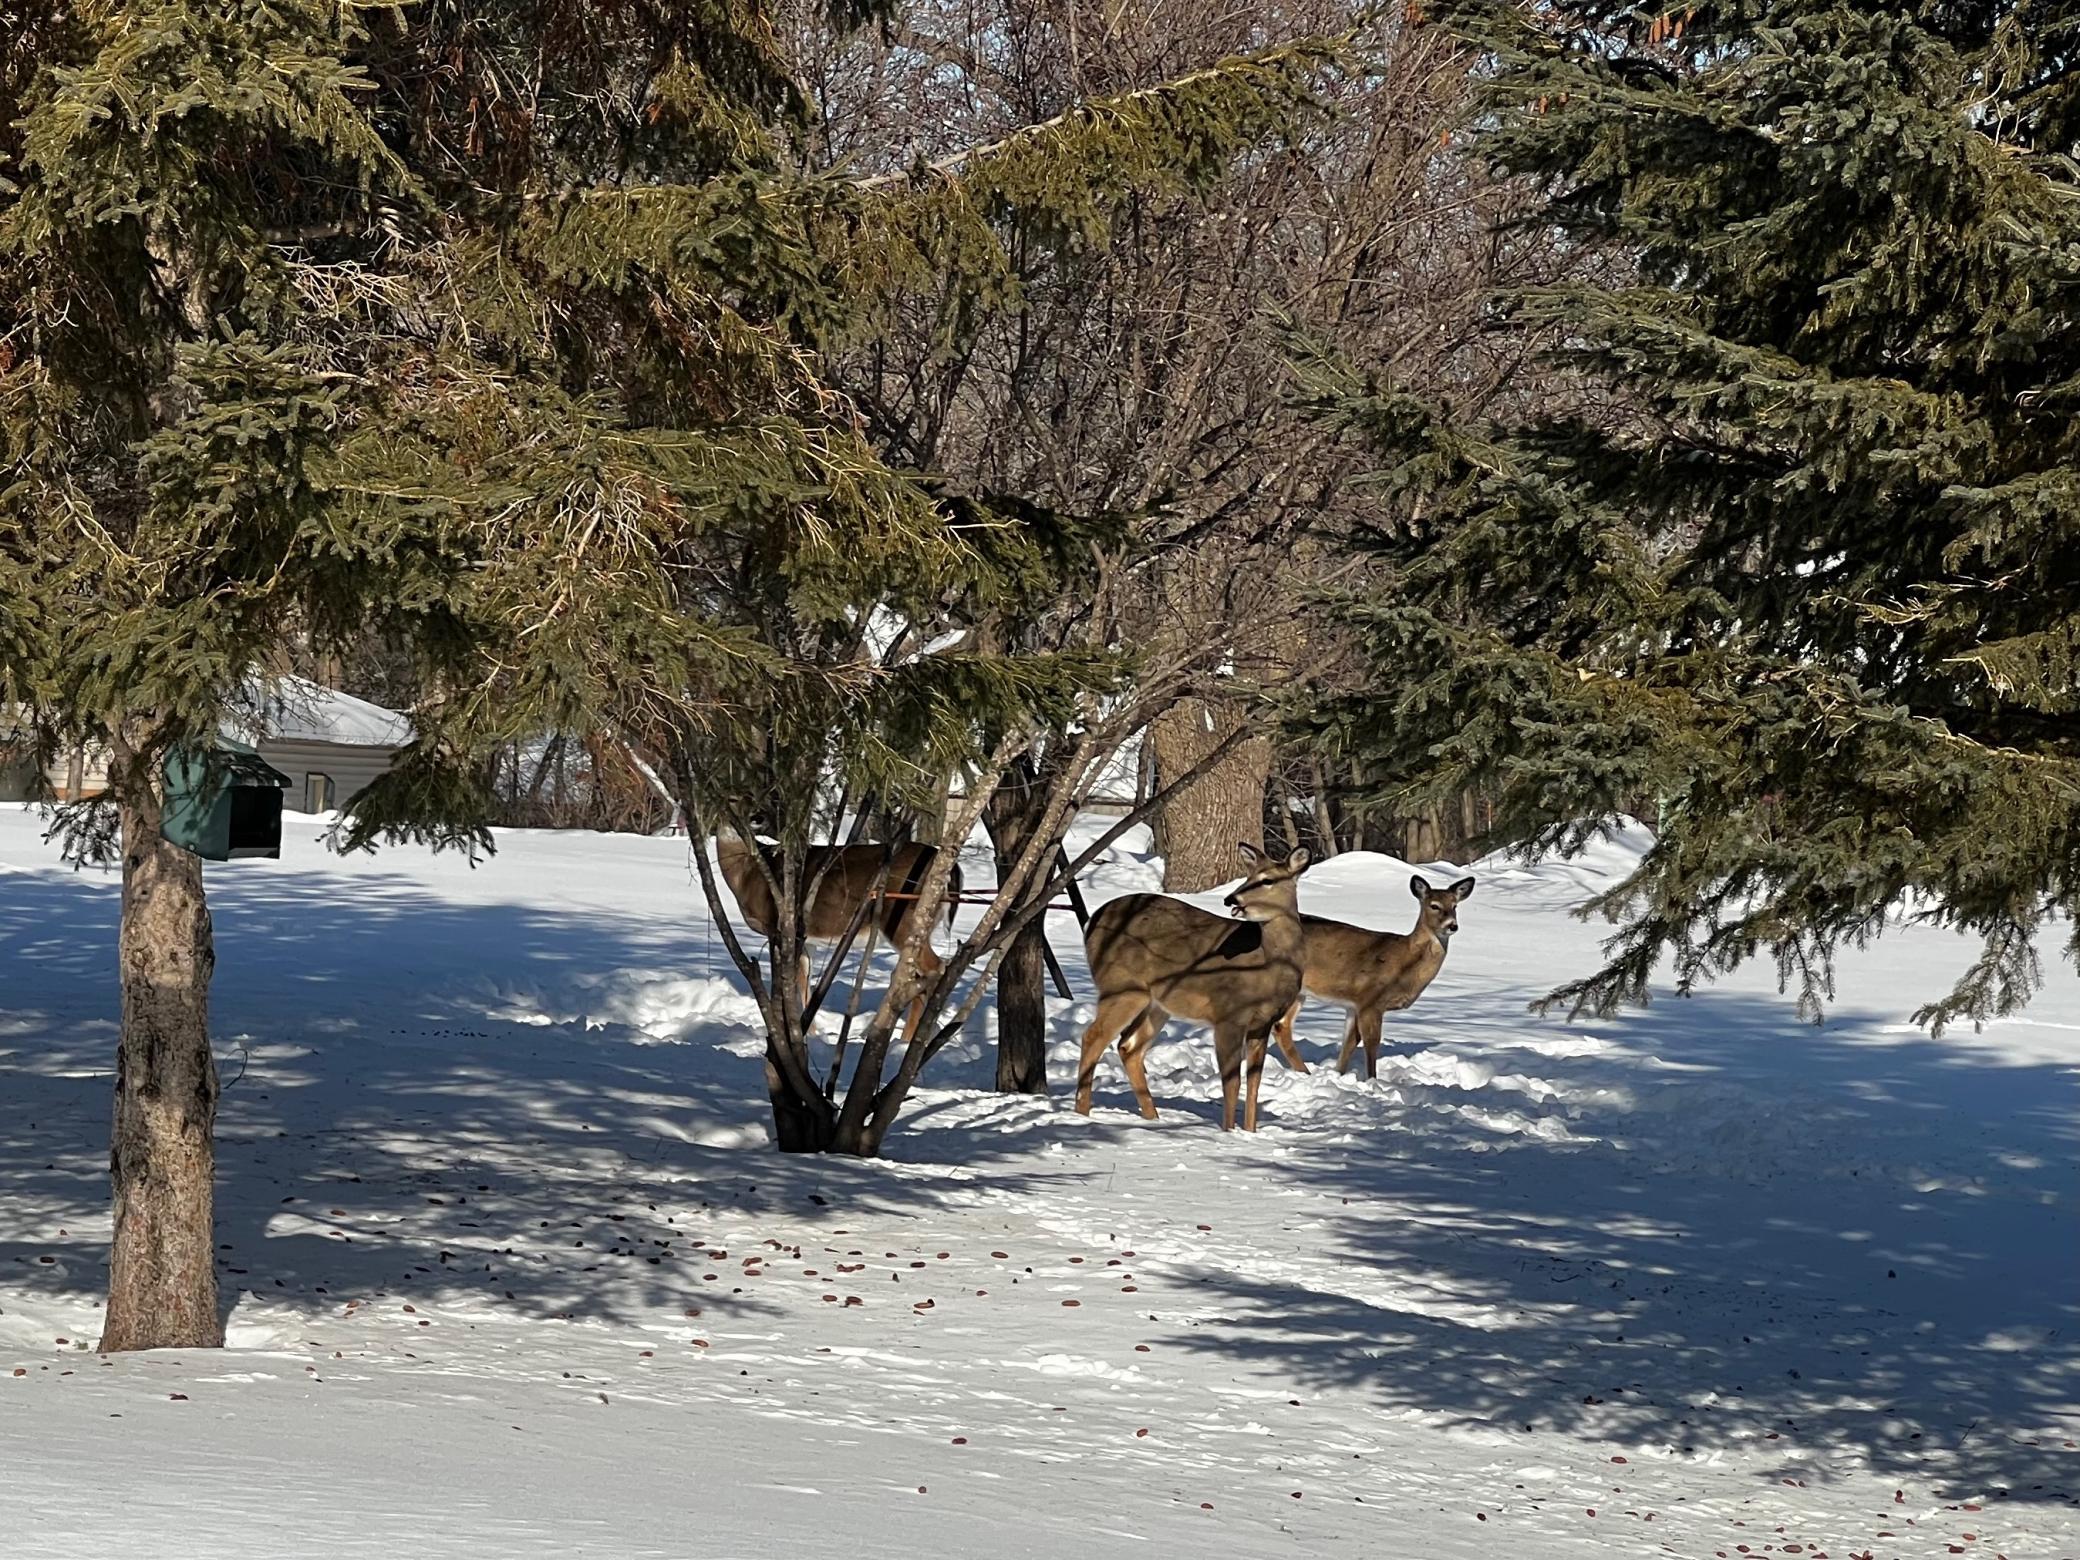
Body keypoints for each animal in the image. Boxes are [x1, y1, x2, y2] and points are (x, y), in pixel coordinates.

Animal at [715, 833, 962, 1044]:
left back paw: (909, 1040)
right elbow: (804, 982)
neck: (746, 872)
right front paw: (809, 1033)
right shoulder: (806, 938)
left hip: (902, 920)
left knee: (935, 967)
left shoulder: (778, 928)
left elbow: (790, 981)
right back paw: (901, 1039)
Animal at [1074, 842, 1310, 1132]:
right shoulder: (1229, 1014)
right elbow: (1231, 1081)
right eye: (1248, 876)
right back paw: (1082, 1113)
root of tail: (1092, 921)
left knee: (1128, 1047)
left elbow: (1254, 1083)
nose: (1231, 899)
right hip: (1121, 985)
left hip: (1156, 1003)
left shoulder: (1263, 1022)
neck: (1269, 965)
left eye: (1268, 880)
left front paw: (1251, 1132)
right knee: (1093, 1036)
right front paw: (1229, 1132)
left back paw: (1152, 1117)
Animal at [1267, 873, 1475, 1080]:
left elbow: (1350, 1042)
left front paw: (1339, 1075)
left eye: (1455, 906)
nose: (1452, 926)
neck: (1405, 963)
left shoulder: (1354, 1005)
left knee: (1281, 1026)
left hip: (1298, 992)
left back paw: (1305, 1073)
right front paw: (1372, 1081)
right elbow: (1371, 1042)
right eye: (1434, 906)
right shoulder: (1370, 1000)